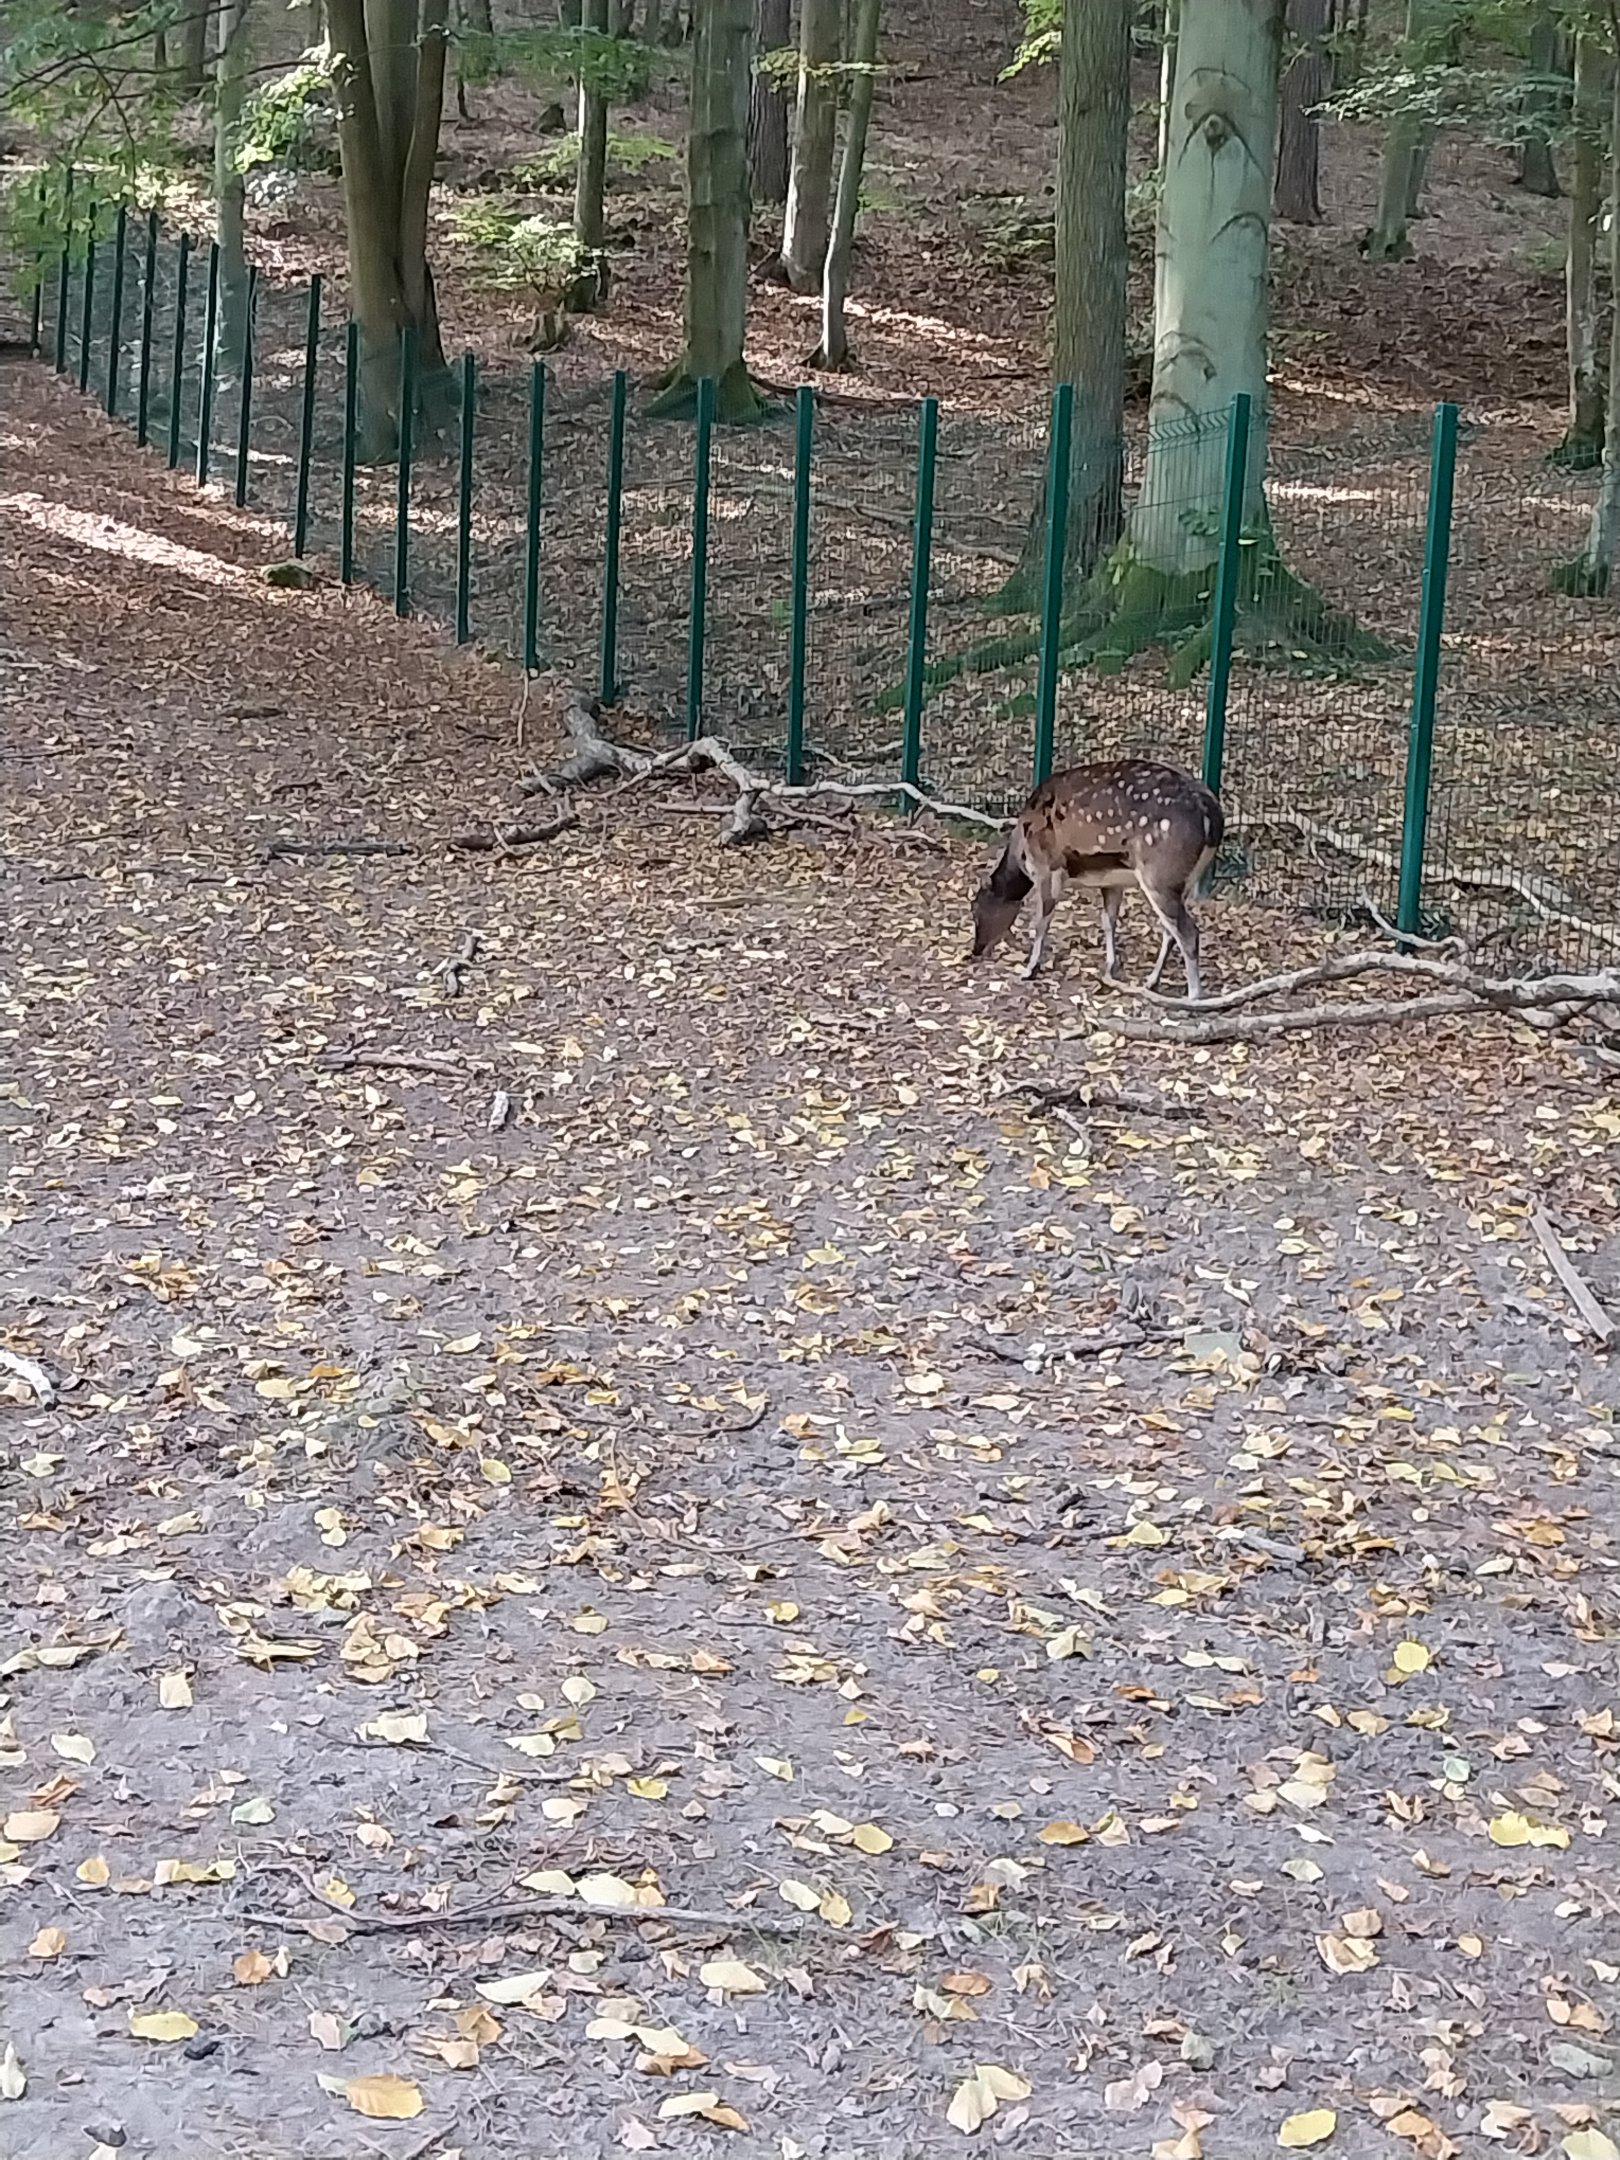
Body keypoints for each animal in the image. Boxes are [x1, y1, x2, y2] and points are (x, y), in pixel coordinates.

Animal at [969, 758, 1224, 1000]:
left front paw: (1029, 969)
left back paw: (1193, 996)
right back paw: (1151, 982)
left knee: (1188, 932)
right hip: (1182, 882)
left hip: (1160, 876)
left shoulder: (1047, 868)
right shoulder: (1111, 882)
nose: (976, 950)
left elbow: (1041, 922)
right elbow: (1108, 920)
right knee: (1170, 931)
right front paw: (1111, 967)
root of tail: (1213, 819)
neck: (1022, 852)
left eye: (976, 908)